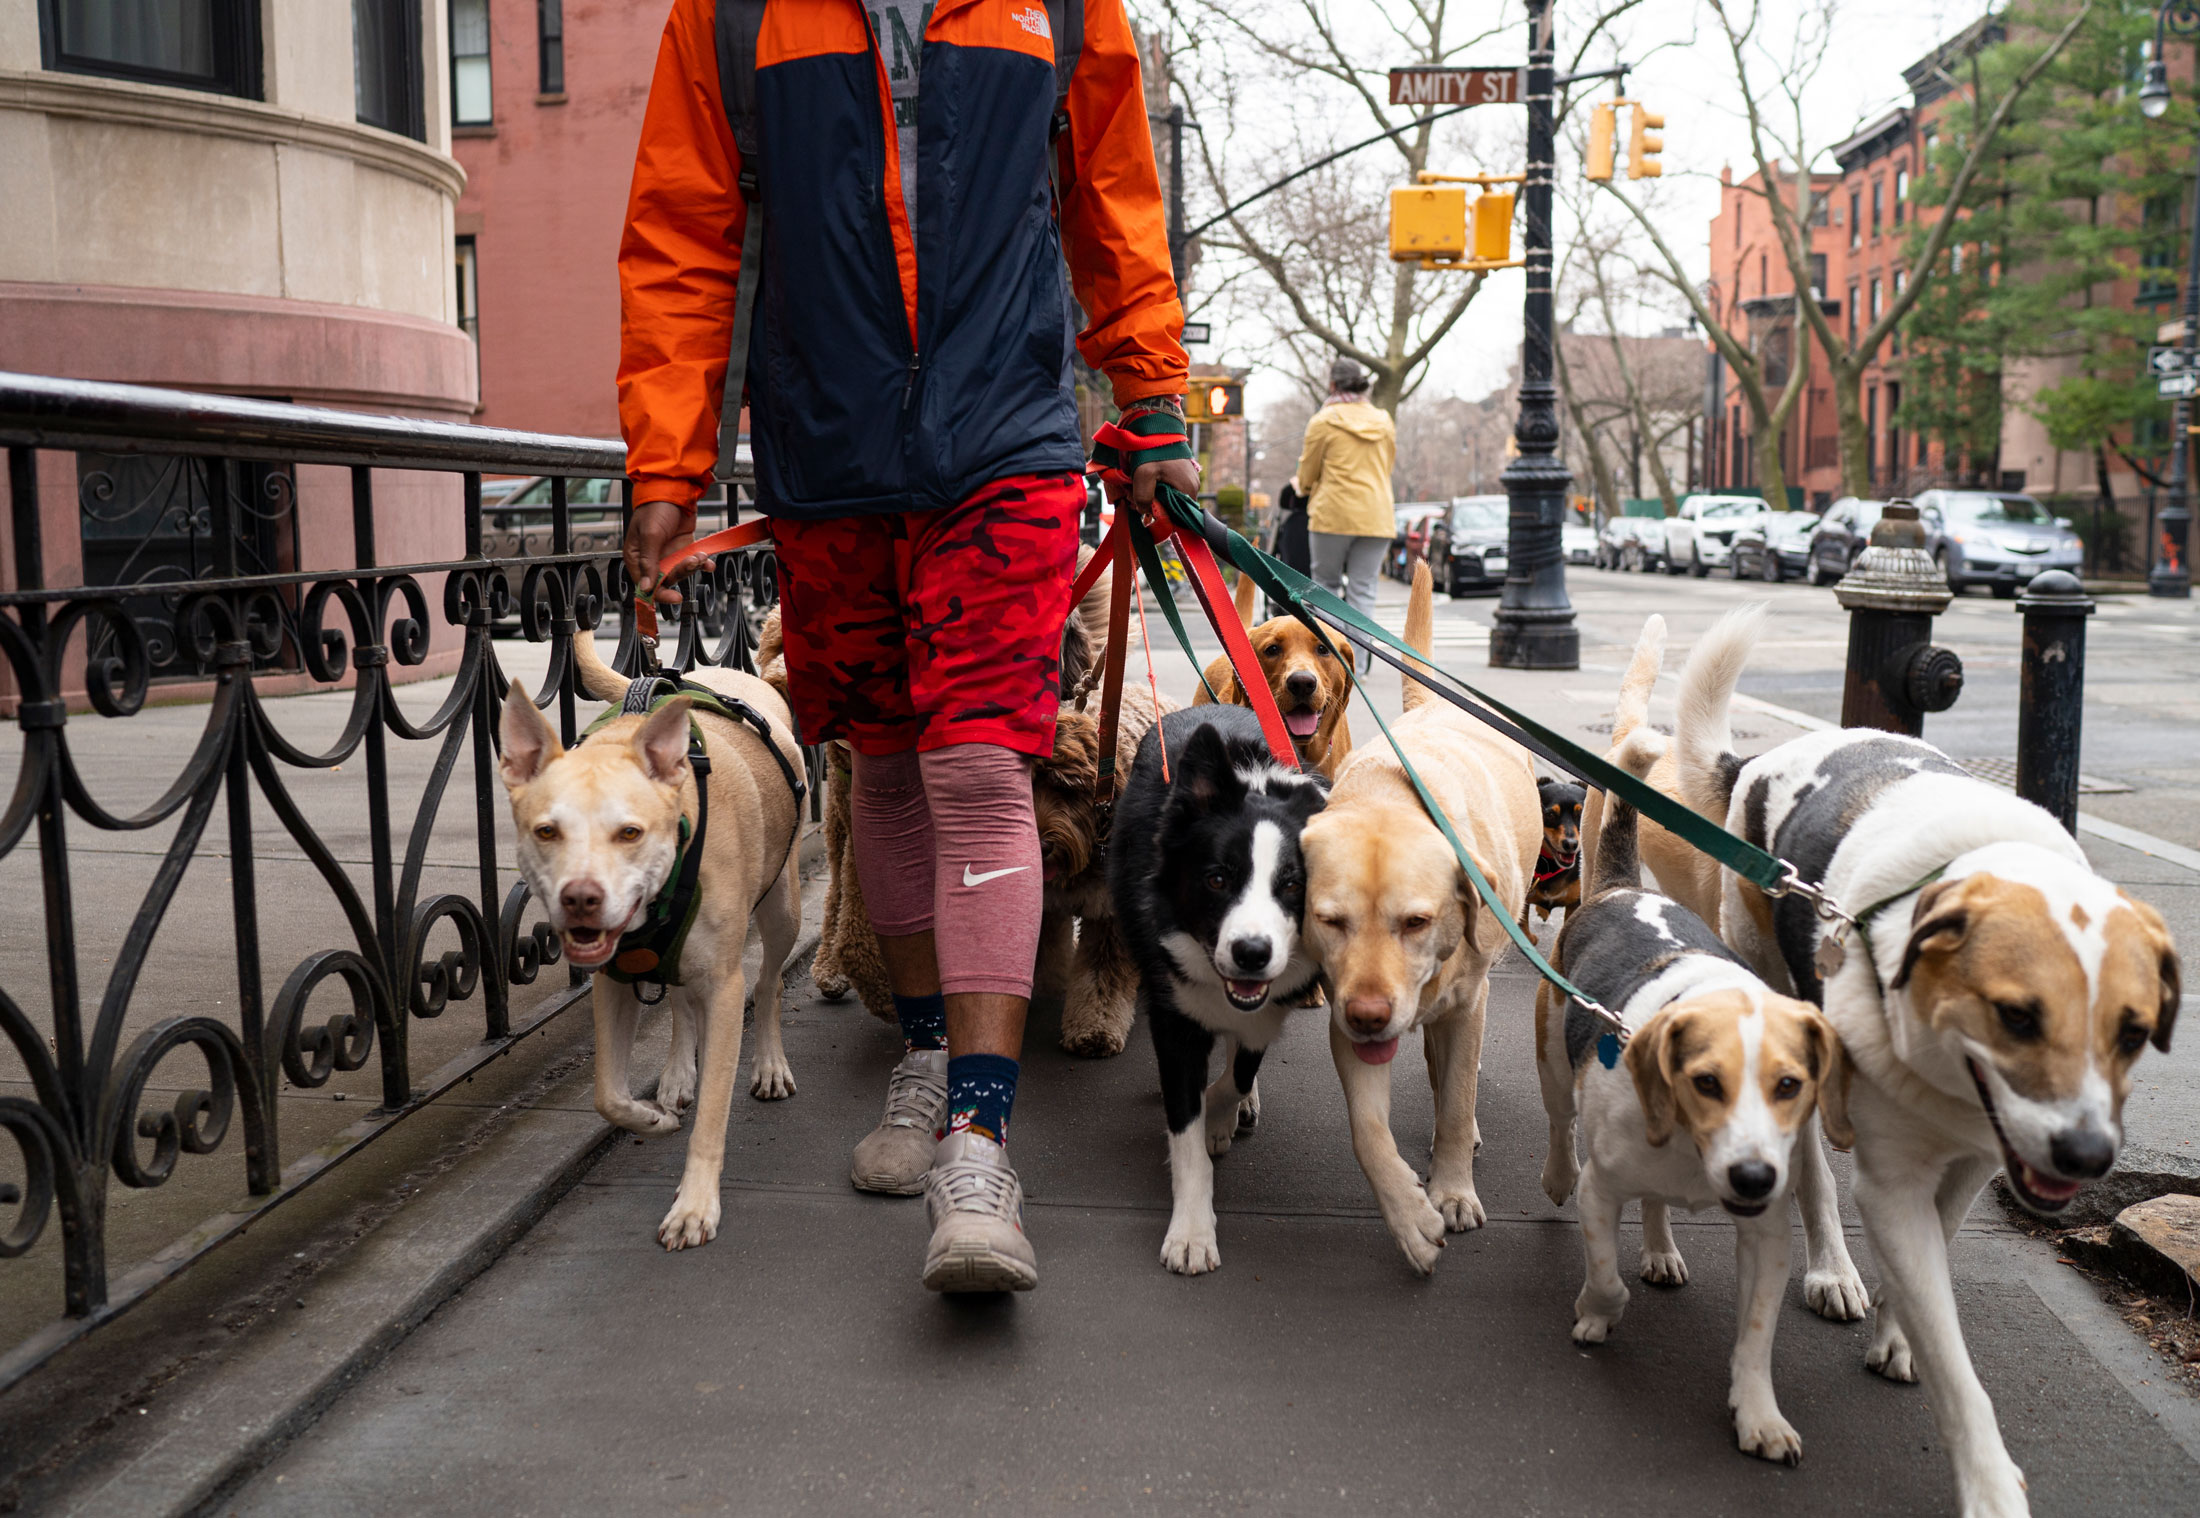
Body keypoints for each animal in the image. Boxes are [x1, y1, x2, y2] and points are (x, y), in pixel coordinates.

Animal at [501, 633, 809, 1249]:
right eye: (546, 831)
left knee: (767, 985)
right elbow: (608, 1094)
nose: (581, 898)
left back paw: (768, 1063)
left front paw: (694, 1207)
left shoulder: (724, 986)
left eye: (630, 833)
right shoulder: (614, 980)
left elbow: (714, 1111)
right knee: (680, 1003)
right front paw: (653, 1118)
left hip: (782, 907)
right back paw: (675, 1078)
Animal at [1293, 561, 1540, 1267]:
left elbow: (1456, 1104)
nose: (1370, 1015)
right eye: (1331, 921)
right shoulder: (1346, 1025)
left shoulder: (1469, 1003)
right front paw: (1409, 1215)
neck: (1391, 798)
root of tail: (1434, 704)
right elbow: (1367, 1133)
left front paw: (1452, 1190)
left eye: (1416, 922)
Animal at [1540, 739, 1848, 1460]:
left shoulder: (1767, 1235)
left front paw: (1758, 1413)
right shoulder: (1601, 1192)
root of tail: (1621, 886)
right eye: (1706, 1082)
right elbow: (1605, 1277)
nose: (1755, 1176)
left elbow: (1756, 1339)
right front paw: (1595, 1317)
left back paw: (1660, 1249)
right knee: (1561, 1126)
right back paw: (1558, 1175)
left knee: (1655, 1204)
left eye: (1789, 1086)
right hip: (1554, 1064)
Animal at [1672, 602, 2173, 1513]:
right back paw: (1832, 1268)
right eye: (2016, 1016)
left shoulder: (1973, 1162)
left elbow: (1932, 1262)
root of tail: (1761, 760)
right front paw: (1988, 1482)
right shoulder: (1894, 1179)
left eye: (2131, 1031)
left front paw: (1899, 1329)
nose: (2086, 1157)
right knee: (1814, 1178)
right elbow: (1955, 1365)